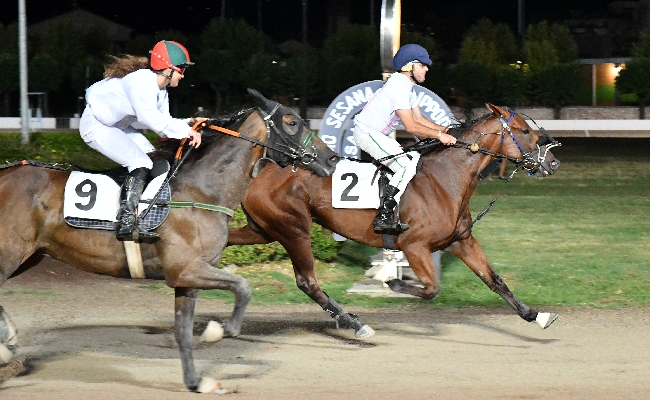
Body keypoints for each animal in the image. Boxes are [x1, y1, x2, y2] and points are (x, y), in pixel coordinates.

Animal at [1, 89, 340, 392]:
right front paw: (222, 329)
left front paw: (196, 381)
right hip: (10, 255)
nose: (331, 158)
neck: (201, 190)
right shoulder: (185, 268)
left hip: (29, 256)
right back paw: (9, 342)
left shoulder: (188, 279)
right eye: (292, 122)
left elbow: (183, 332)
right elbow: (243, 287)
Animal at [229, 104, 560, 338]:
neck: (445, 179)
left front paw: (537, 316)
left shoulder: (460, 241)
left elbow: (495, 280)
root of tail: (260, 168)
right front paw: (388, 279)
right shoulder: (414, 245)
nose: (553, 162)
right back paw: (355, 323)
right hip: (293, 228)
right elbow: (431, 288)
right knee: (308, 281)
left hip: (263, 228)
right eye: (524, 131)